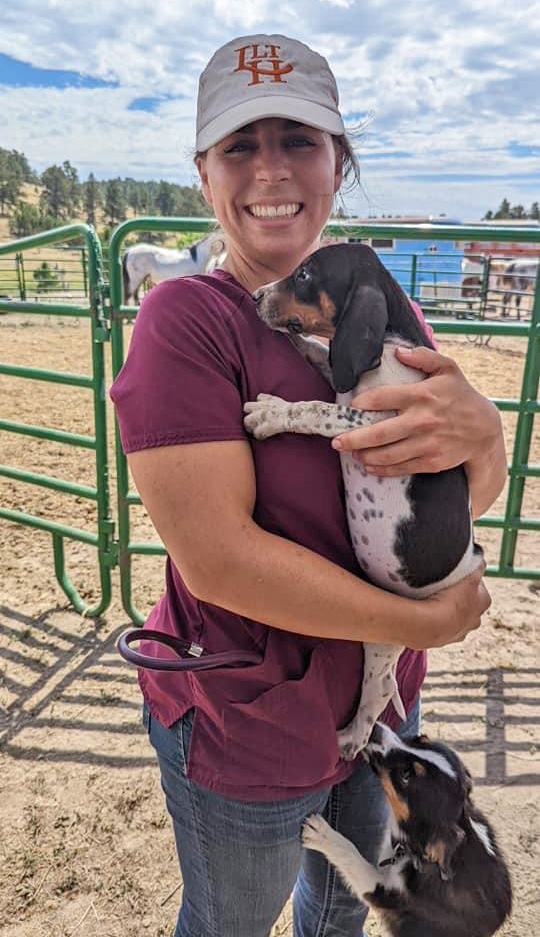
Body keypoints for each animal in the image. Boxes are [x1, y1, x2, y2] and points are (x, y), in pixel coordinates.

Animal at [243, 245, 484, 756]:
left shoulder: (375, 425)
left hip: (385, 640)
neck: (391, 343)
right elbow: (324, 354)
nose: (255, 296)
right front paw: (299, 343)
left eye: (304, 274)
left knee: (377, 695)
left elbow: (315, 409)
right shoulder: (344, 377)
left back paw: (352, 741)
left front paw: (272, 412)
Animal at [302, 724, 512, 936]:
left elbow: (351, 856)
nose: (374, 729)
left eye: (406, 775)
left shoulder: (386, 895)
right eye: (420, 739)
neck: (414, 848)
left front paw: (322, 834)